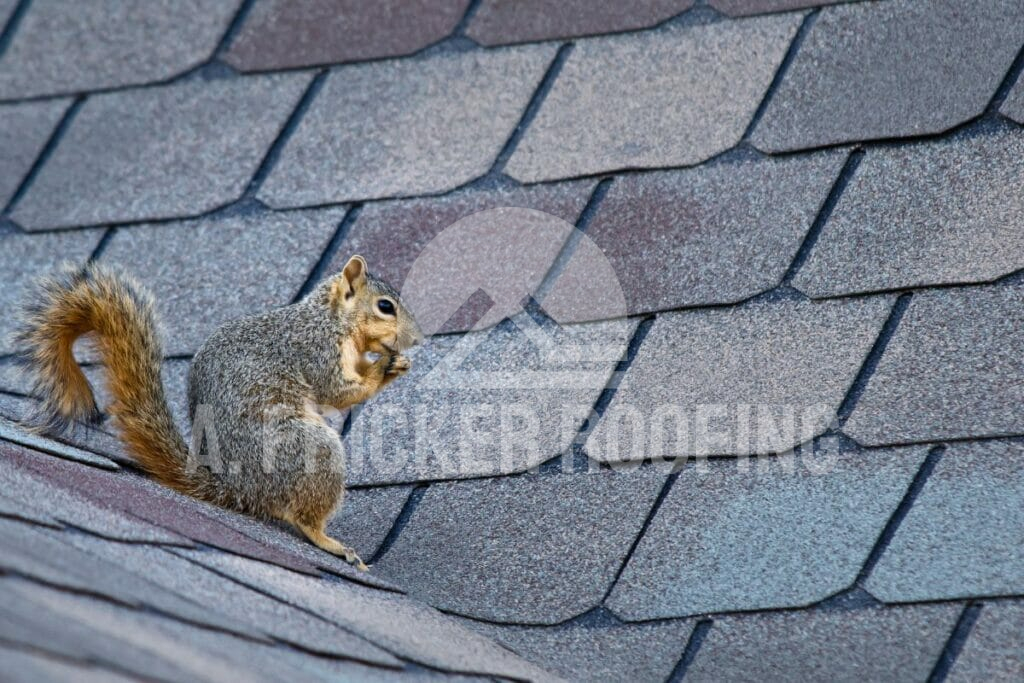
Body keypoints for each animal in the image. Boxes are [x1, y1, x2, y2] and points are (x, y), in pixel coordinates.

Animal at [12, 253, 419, 569]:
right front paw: (383, 370)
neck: (330, 318)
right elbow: (337, 391)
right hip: (308, 448)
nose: (416, 339)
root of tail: (239, 488)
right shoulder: (314, 350)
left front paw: (392, 362)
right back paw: (328, 541)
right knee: (302, 516)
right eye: (385, 306)